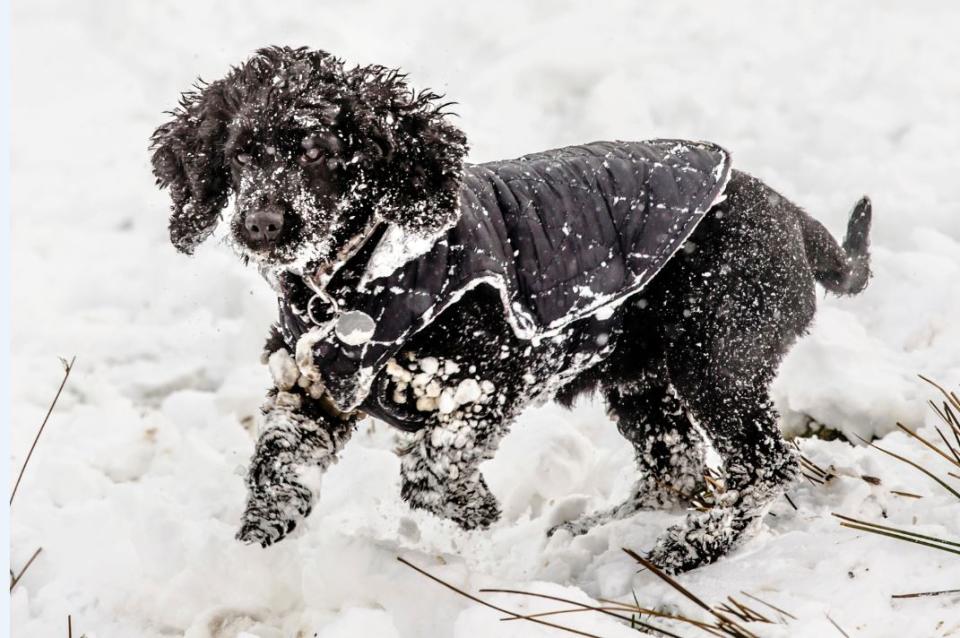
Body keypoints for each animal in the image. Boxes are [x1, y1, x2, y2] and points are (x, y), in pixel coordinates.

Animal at [148, 46, 872, 576]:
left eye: (321, 153)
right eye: (241, 153)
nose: (261, 226)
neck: (355, 277)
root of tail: (794, 220)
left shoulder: (490, 382)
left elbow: (431, 469)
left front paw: (475, 511)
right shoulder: (312, 392)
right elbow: (279, 469)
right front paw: (250, 560)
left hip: (716, 358)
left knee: (762, 465)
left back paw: (691, 550)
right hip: (639, 376)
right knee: (678, 466)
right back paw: (594, 532)